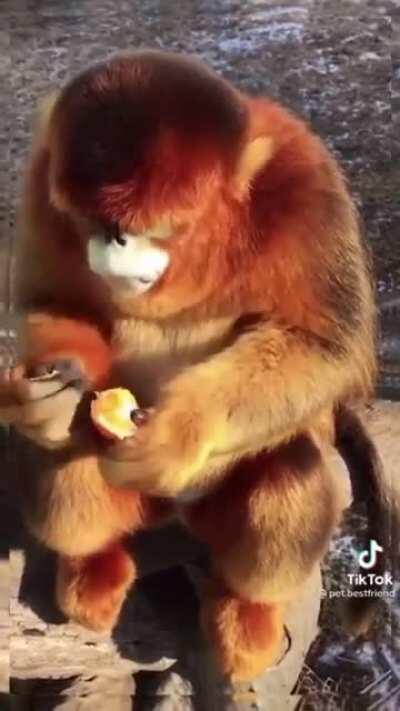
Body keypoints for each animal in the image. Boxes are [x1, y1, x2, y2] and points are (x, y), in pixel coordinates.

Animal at [1, 50, 396, 681]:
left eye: (134, 231)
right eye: (97, 225)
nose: (110, 246)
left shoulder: (307, 184)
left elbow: (325, 344)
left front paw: (181, 432)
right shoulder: (43, 174)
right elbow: (54, 303)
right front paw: (54, 393)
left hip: (212, 504)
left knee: (293, 470)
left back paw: (250, 609)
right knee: (67, 452)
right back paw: (93, 564)